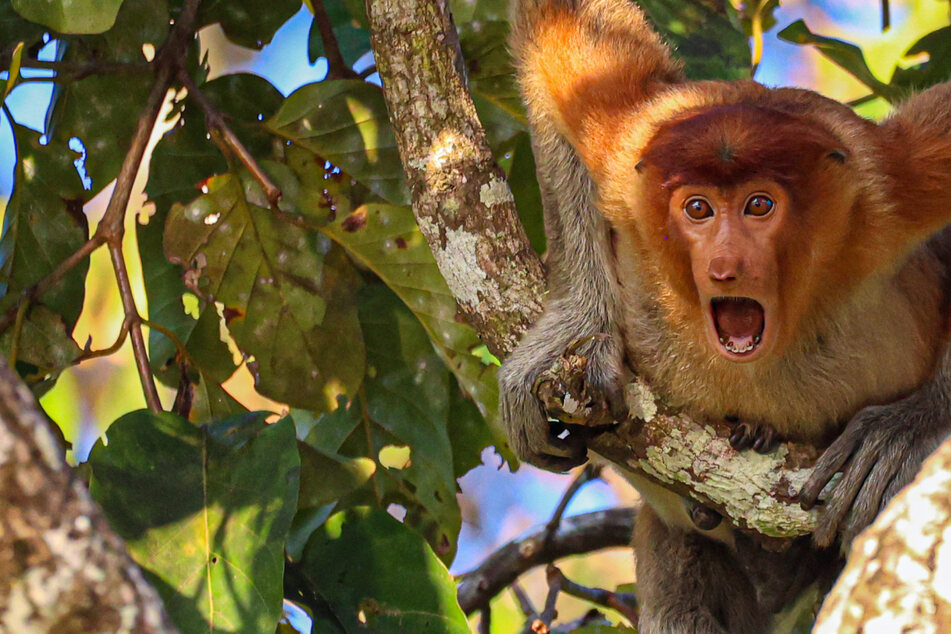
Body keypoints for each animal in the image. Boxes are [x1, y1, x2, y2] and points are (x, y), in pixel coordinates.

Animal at [498, 0, 951, 631]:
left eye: (759, 205)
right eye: (698, 209)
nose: (725, 265)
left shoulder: (893, 189)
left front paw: (909, 426)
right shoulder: (624, 150)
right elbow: (556, 38)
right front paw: (580, 328)